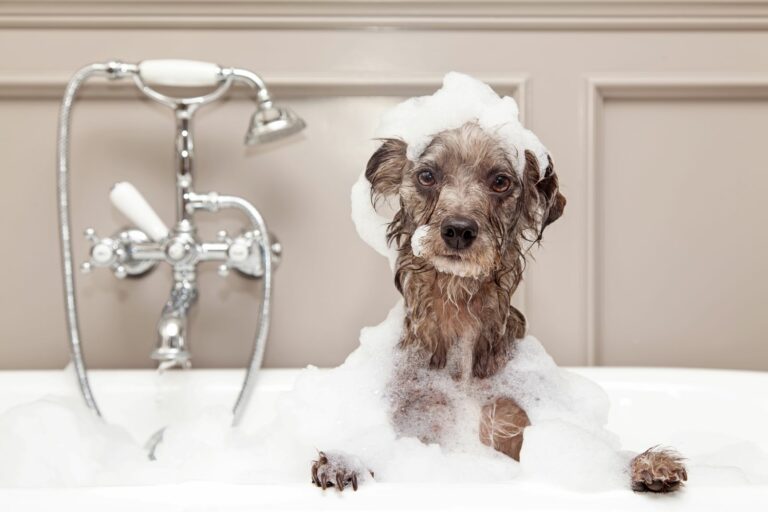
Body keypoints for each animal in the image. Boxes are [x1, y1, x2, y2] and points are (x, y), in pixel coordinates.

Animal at [312, 120, 688, 492]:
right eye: (427, 176)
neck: (459, 315)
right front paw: (348, 460)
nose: (458, 230)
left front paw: (642, 464)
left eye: (500, 181)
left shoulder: (513, 423)